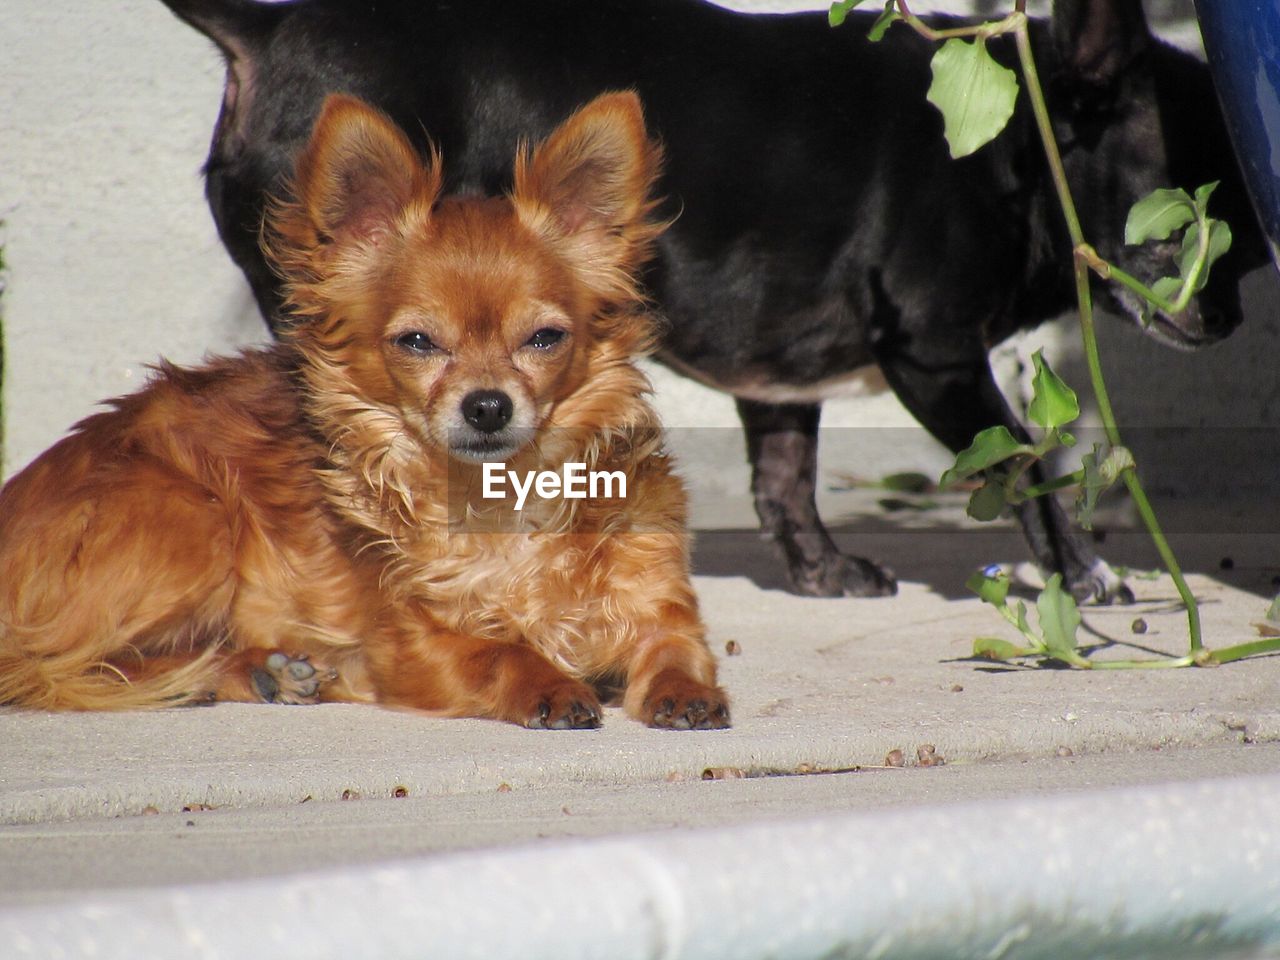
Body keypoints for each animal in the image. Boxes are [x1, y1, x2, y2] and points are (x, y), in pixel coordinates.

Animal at [0, 94, 732, 732]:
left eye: (545, 339)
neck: (501, 501)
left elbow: (678, 648)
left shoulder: (661, 603)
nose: (487, 405)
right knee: (65, 665)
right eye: (418, 342)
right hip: (193, 518)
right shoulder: (412, 642)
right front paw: (549, 683)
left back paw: (263, 671)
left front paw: (685, 691)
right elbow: (499, 650)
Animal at [157, 0, 1259, 601]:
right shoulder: (938, 358)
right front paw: (1084, 578)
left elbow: (785, 482)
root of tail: (272, 24)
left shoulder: (778, 377)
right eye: (1190, 217)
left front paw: (821, 573)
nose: (1234, 316)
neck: (1017, 147)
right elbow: (1024, 464)